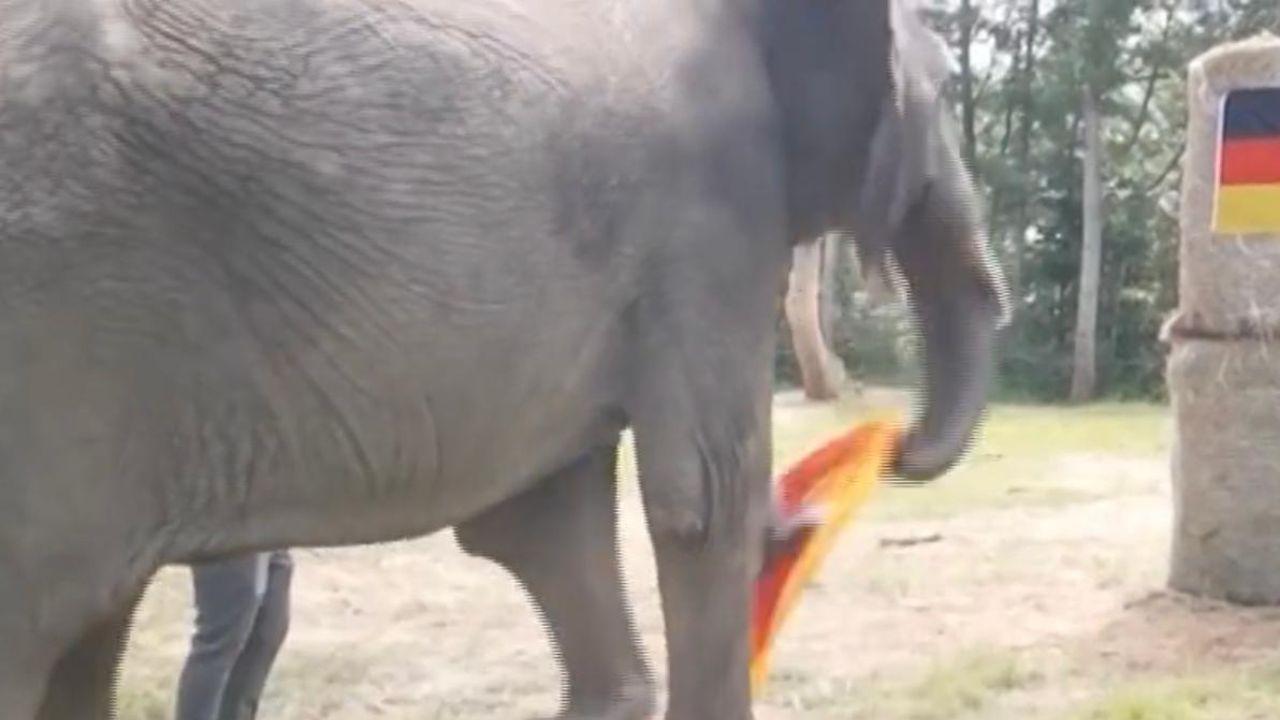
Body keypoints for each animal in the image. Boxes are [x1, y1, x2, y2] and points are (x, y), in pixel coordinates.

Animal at [0, 0, 1008, 718]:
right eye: (943, 94)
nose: (894, 443)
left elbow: (541, 523)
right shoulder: (712, 216)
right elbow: (705, 504)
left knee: (90, 634)